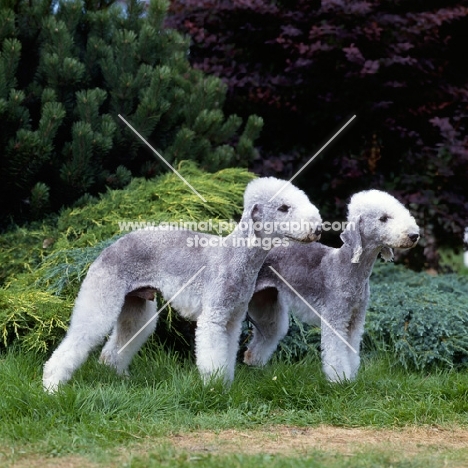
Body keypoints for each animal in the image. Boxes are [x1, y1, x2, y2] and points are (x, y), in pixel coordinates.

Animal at [43, 178, 322, 392]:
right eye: (284, 207)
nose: (318, 229)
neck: (236, 256)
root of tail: (107, 248)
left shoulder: (231, 321)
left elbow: (228, 353)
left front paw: (226, 384)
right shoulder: (213, 320)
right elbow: (212, 355)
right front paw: (214, 388)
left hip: (137, 304)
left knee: (115, 348)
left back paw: (117, 377)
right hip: (101, 298)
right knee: (78, 339)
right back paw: (52, 387)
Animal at [245, 189, 420, 380]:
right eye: (383, 218)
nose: (414, 236)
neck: (350, 267)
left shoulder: (356, 318)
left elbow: (351, 350)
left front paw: (351, 376)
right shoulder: (335, 317)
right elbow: (336, 352)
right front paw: (339, 379)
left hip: (266, 301)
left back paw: (254, 365)